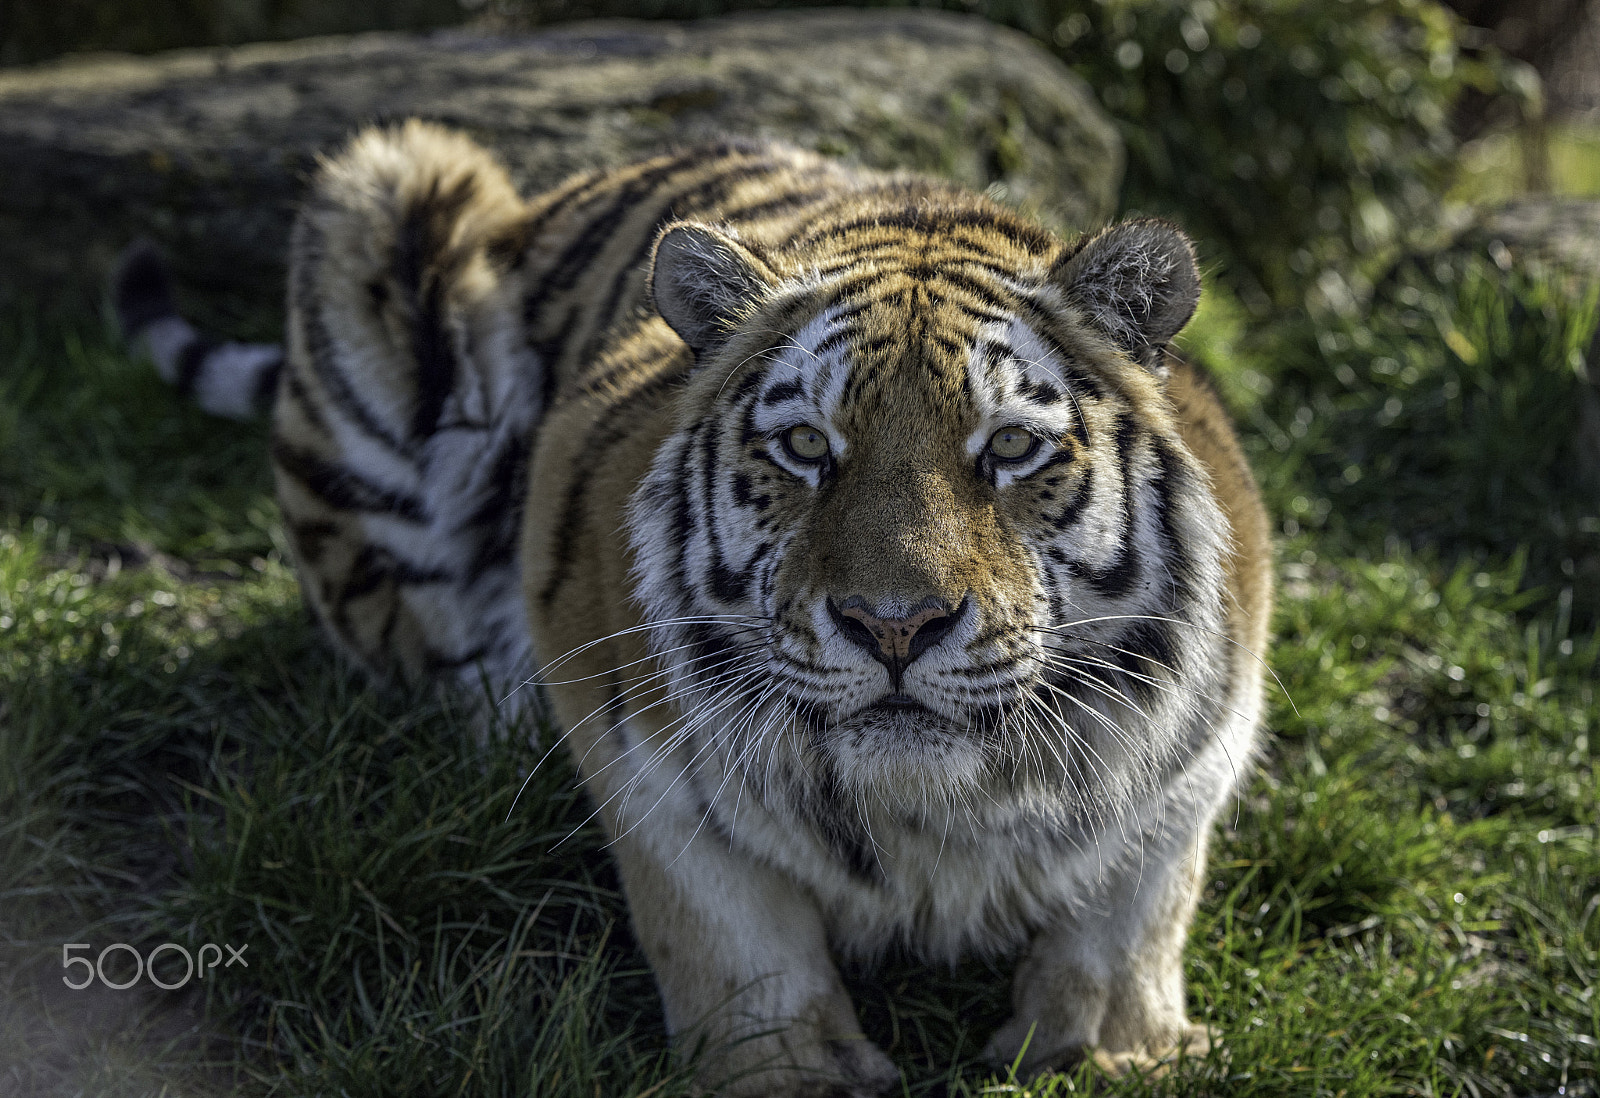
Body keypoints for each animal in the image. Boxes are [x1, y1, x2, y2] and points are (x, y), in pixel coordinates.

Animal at [117, 119, 1272, 1094]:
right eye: (805, 446)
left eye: (1011, 448)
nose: (893, 626)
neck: (928, 814)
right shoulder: (637, 750)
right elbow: (726, 929)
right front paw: (785, 1064)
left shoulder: (1196, 756)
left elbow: (1133, 911)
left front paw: (1110, 1046)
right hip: (386, 186)